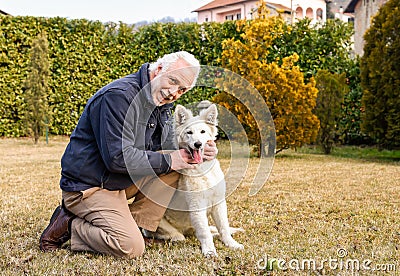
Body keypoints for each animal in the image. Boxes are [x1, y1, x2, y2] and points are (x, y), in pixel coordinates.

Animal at [144, 103, 244, 256]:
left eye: (203, 131)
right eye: (189, 132)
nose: (197, 144)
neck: (203, 169)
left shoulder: (219, 203)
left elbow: (223, 227)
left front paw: (231, 244)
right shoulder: (197, 206)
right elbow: (204, 232)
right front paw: (210, 251)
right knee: (180, 236)